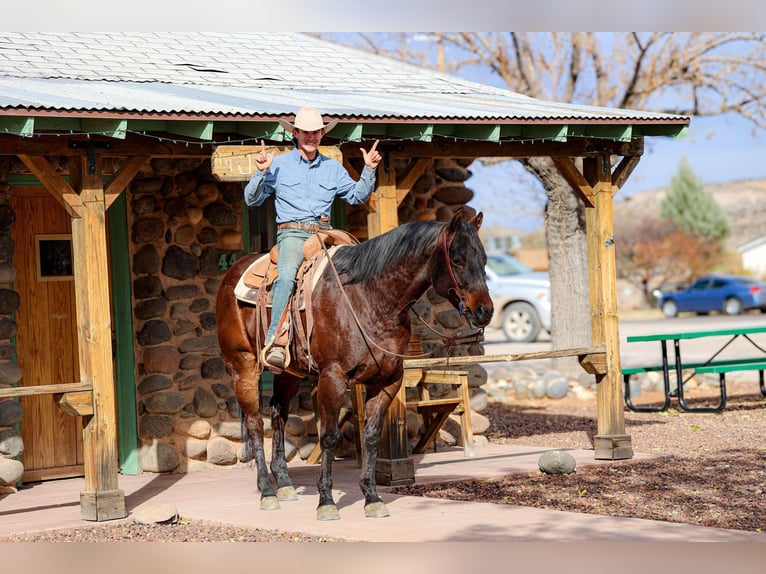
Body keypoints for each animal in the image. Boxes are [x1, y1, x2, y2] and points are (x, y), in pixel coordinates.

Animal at [216, 207, 496, 520]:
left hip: (289, 372)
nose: (484, 311)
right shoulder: (333, 378)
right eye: (457, 259)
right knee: (254, 423)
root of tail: (232, 273)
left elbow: (371, 435)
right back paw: (267, 491)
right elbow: (328, 436)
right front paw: (326, 501)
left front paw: (372, 497)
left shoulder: (388, 380)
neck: (370, 298)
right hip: (244, 366)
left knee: (279, 412)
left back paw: (285, 484)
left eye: (484, 259)